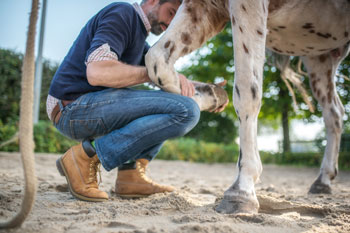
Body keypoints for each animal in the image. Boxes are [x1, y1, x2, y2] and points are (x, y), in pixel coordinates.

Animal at [144, 0, 348, 214]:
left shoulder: (249, 6)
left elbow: (246, 92)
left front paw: (242, 190)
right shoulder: (203, 8)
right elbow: (157, 62)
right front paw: (210, 95)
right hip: (319, 56)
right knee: (334, 113)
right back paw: (323, 181)